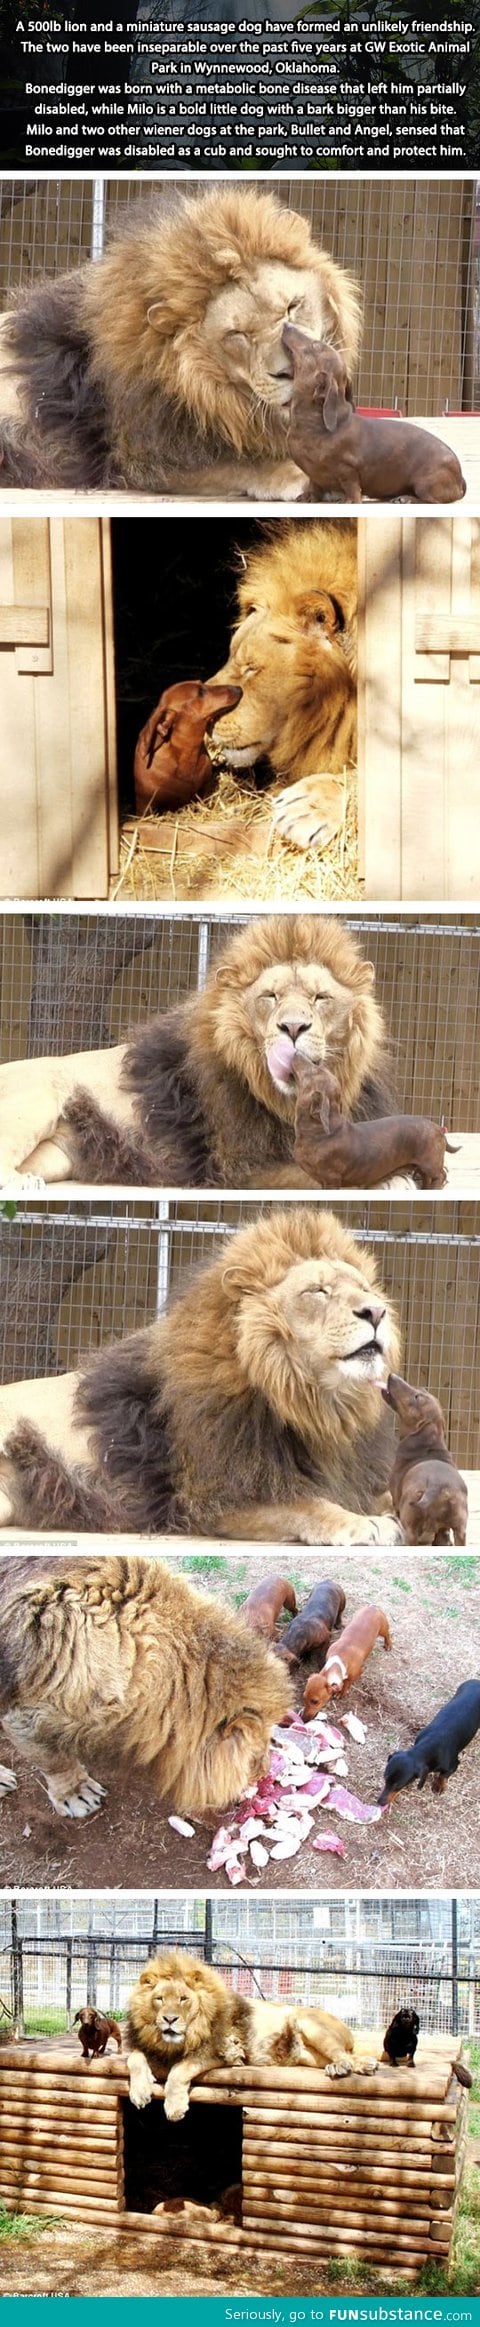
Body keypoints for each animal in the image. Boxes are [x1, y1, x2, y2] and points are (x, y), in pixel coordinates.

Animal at [0, 912, 389, 1191]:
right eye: (270, 996)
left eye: (320, 997)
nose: (293, 1028)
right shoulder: (238, 1165)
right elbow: (311, 1174)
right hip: (36, 1098)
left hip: (56, 1155)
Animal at [0, 1200, 403, 1545]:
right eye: (318, 1291)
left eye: (365, 1289)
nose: (376, 1312)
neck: (314, 1405)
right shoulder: (216, 1497)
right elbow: (307, 1505)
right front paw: (361, 1523)